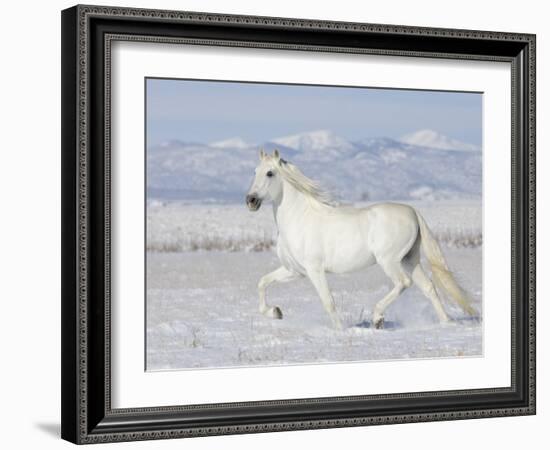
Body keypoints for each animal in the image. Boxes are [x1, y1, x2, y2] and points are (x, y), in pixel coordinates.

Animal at [247, 149, 478, 328]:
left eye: (270, 173)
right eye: (255, 171)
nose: (250, 200)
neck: (299, 219)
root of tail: (412, 211)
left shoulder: (315, 270)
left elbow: (328, 302)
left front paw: (340, 331)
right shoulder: (295, 271)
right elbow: (262, 282)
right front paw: (275, 312)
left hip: (389, 261)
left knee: (403, 282)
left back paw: (377, 318)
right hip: (410, 260)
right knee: (429, 287)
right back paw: (446, 323)